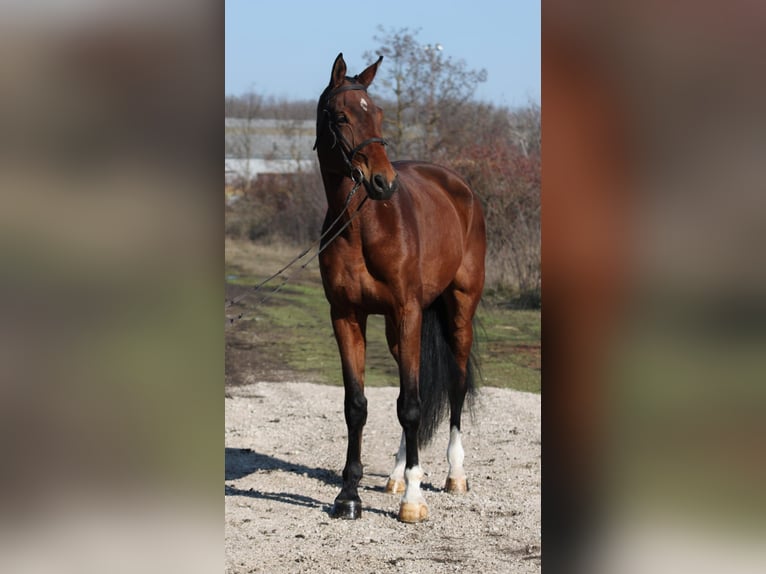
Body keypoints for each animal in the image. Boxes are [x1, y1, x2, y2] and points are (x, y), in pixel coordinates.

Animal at [314, 54, 486, 528]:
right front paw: (348, 496)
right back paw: (394, 474)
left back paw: (453, 475)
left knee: (454, 386)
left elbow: (410, 406)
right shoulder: (346, 316)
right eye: (340, 116)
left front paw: (413, 500)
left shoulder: (409, 310)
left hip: (458, 312)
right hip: (397, 329)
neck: (360, 228)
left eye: (378, 113)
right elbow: (357, 405)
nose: (383, 182)